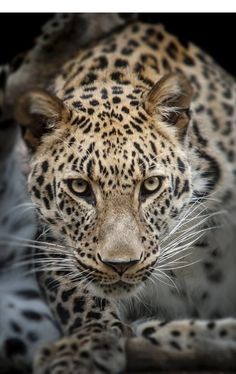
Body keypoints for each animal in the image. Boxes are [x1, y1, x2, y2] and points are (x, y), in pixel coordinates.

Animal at [7, 17, 236, 374]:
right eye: (80, 188)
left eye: (151, 185)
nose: (121, 265)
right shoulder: (51, 246)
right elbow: (78, 296)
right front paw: (86, 344)